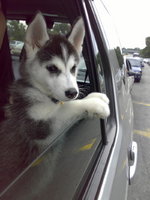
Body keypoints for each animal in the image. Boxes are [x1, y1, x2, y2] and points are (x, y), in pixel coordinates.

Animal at [0, 12, 110, 197]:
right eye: (52, 68)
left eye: (73, 68)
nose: (73, 92)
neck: (40, 92)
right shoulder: (36, 127)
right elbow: (67, 107)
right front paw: (95, 103)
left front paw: (96, 95)